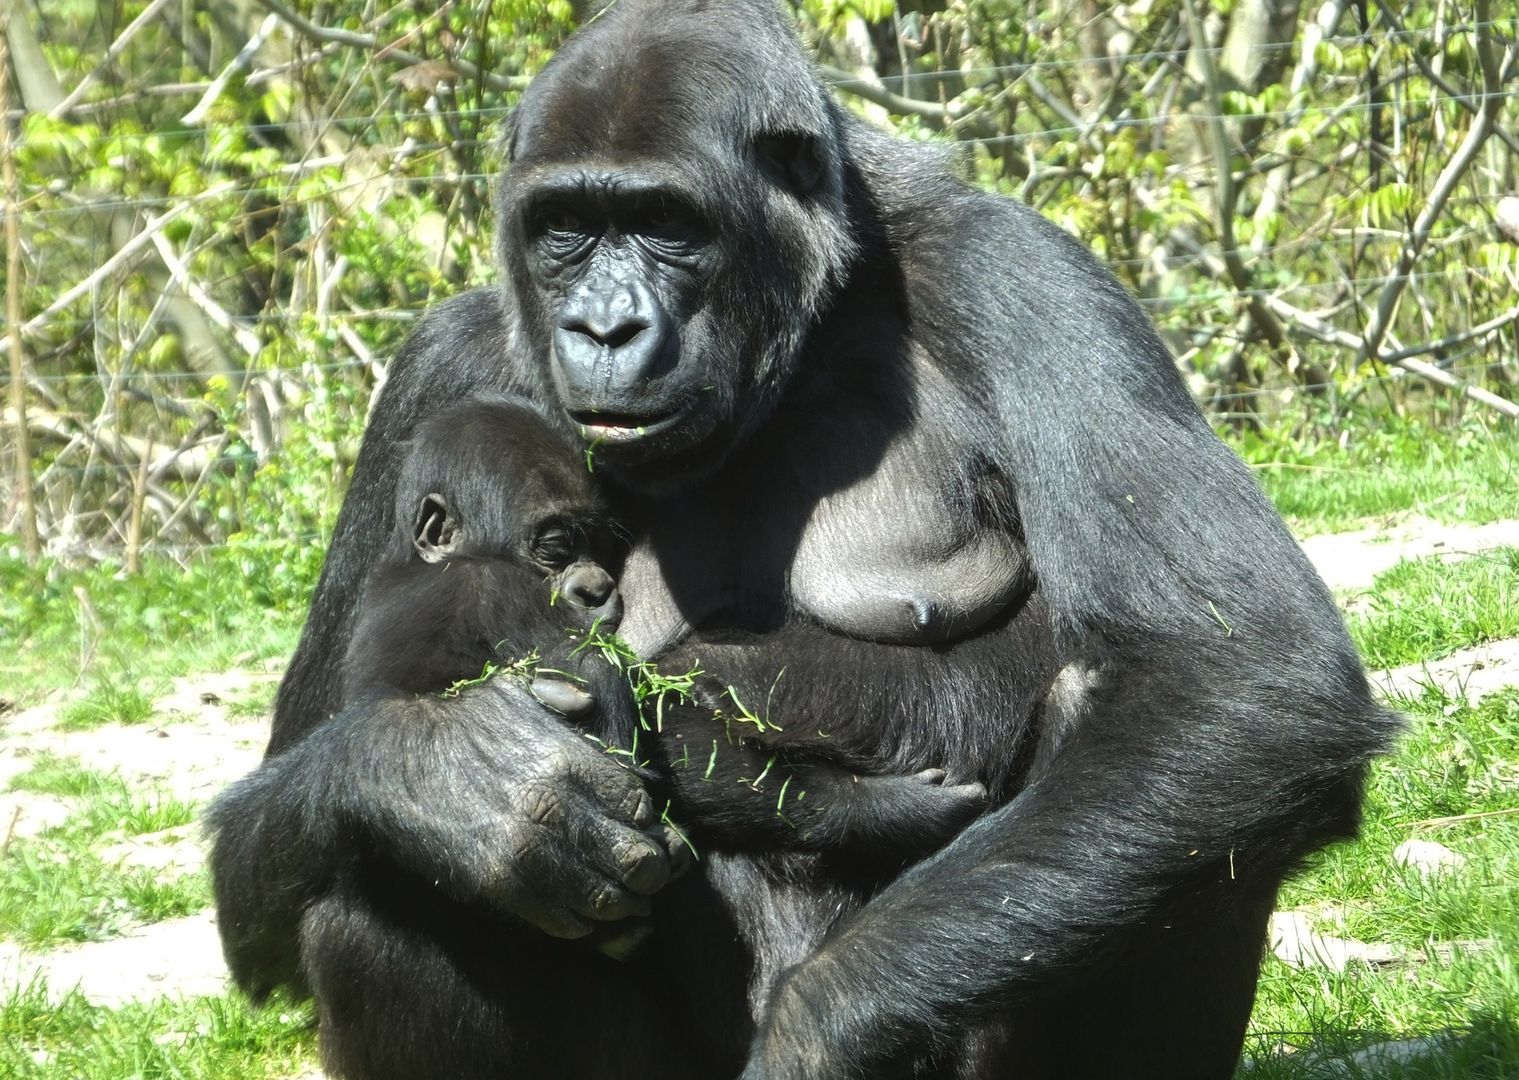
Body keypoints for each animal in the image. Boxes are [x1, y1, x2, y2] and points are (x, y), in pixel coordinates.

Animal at [343, 397, 984, 881]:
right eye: (556, 547)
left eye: (602, 545)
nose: (598, 588)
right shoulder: (500, 591)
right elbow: (629, 715)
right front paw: (883, 809)